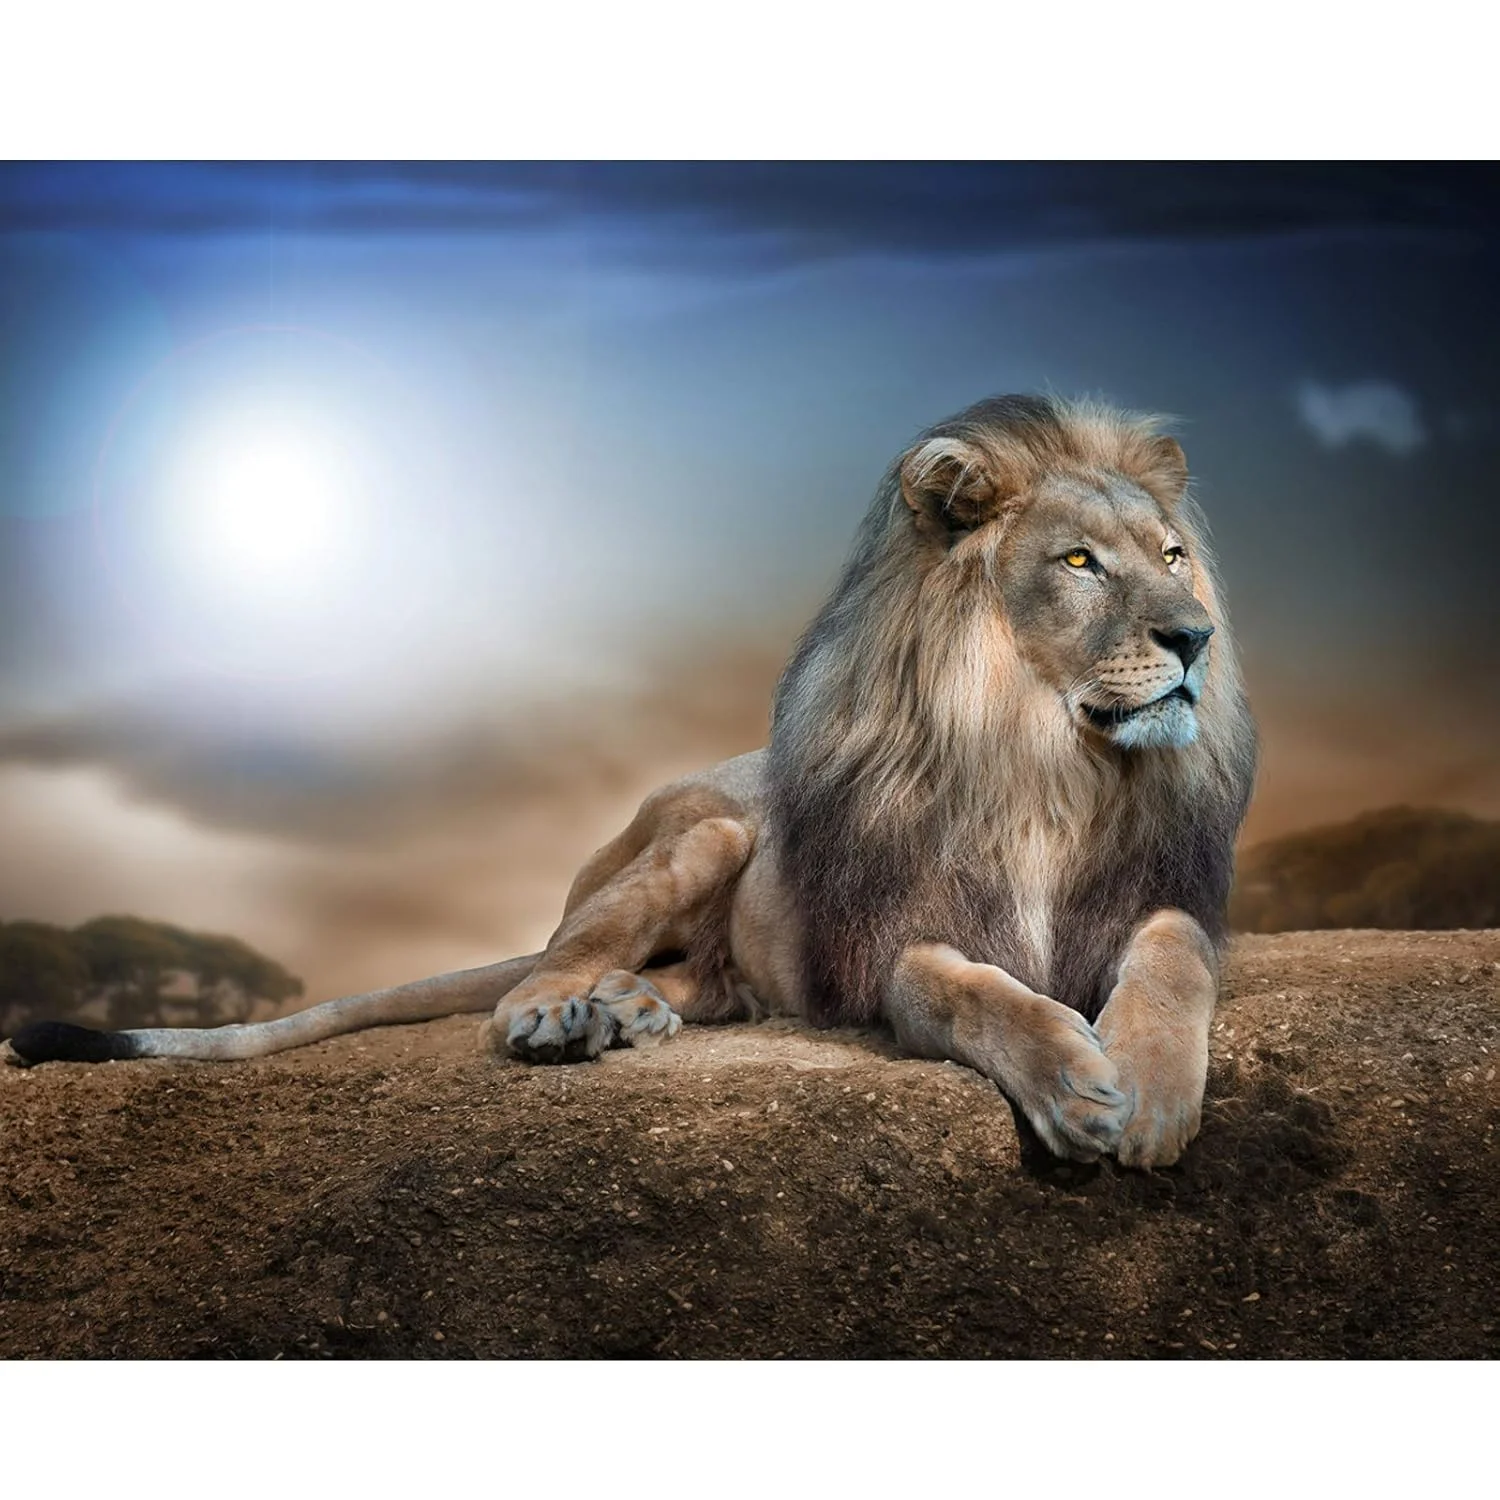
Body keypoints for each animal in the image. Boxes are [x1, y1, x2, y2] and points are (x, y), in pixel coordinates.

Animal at [3, 395, 1257, 1167]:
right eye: (1079, 562)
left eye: (1175, 556)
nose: (1196, 637)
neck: (1048, 765)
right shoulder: (890, 946)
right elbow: (973, 991)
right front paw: (1075, 1082)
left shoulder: (1158, 896)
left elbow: (1173, 956)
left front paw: (1147, 1091)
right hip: (706, 835)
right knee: (541, 966)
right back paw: (564, 1014)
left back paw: (629, 1012)